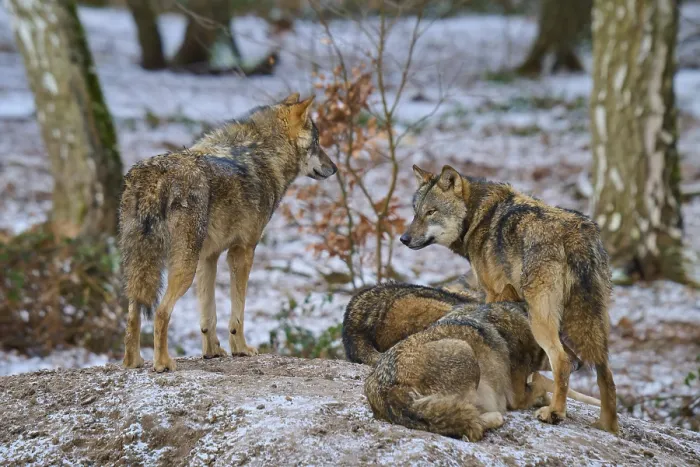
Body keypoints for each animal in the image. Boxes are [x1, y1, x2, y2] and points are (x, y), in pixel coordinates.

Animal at [119, 93, 337, 372]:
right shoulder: (242, 251)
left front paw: (212, 352)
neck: (263, 154)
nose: (335, 168)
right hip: (183, 267)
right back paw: (163, 363)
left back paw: (133, 362)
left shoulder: (208, 257)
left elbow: (208, 315)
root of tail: (155, 174)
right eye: (317, 143)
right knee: (161, 312)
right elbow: (238, 312)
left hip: (141, 264)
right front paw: (241, 349)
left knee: (133, 313)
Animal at [363, 284, 600, 441]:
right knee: (472, 425)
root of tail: (387, 388)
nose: (579, 363)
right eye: (560, 337)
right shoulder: (516, 396)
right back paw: (496, 417)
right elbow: (539, 384)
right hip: (465, 352)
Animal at [400, 164, 618, 433]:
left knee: (562, 360)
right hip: (593, 322)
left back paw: (554, 412)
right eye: (416, 212)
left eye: (431, 212)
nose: (403, 239)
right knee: (605, 371)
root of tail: (574, 235)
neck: (479, 215)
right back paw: (608, 426)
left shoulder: (493, 293)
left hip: (541, 319)